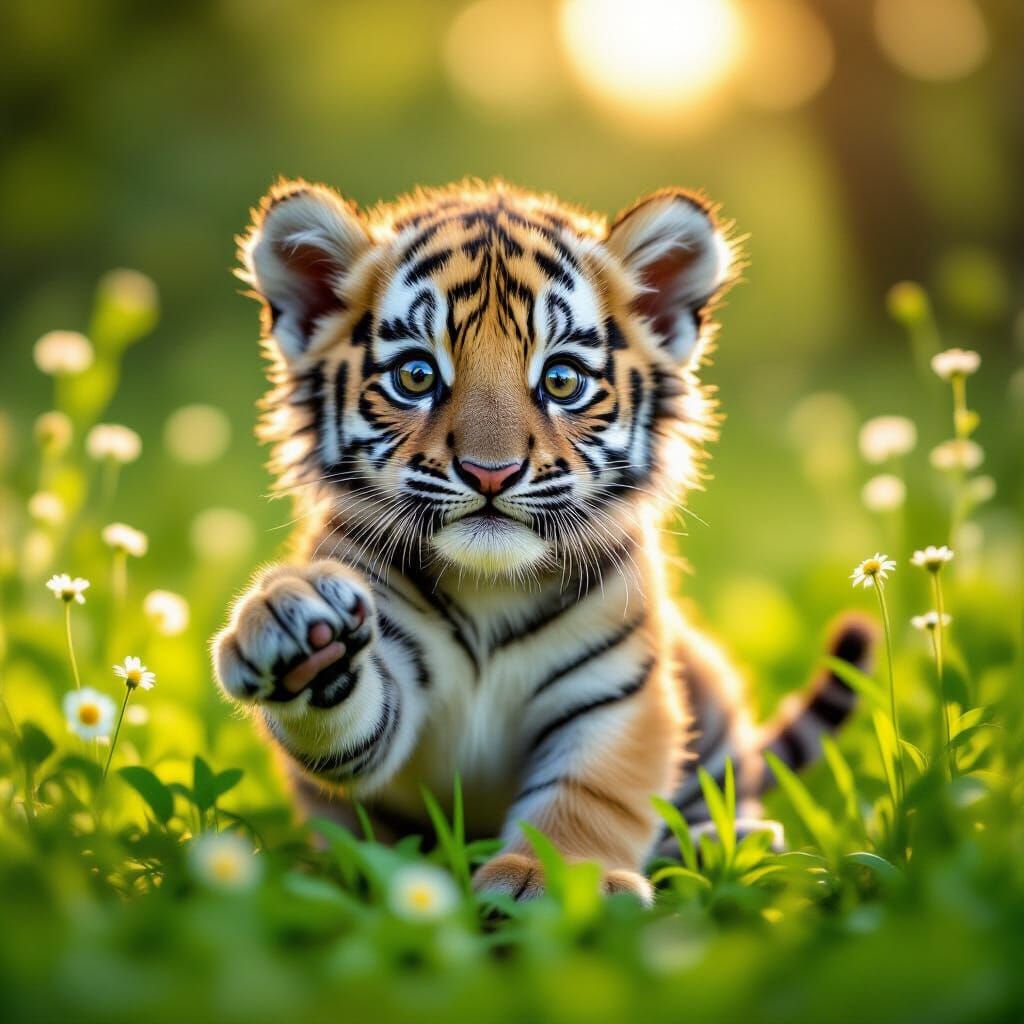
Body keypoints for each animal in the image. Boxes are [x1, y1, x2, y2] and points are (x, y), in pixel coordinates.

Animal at [212, 178, 871, 904]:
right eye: (416, 376)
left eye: (561, 380)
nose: (490, 472)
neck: (489, 585)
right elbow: (351, 728)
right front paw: (302, 640)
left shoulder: (615, 691)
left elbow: (591, 792)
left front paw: (548, 879)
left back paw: (721, 844)